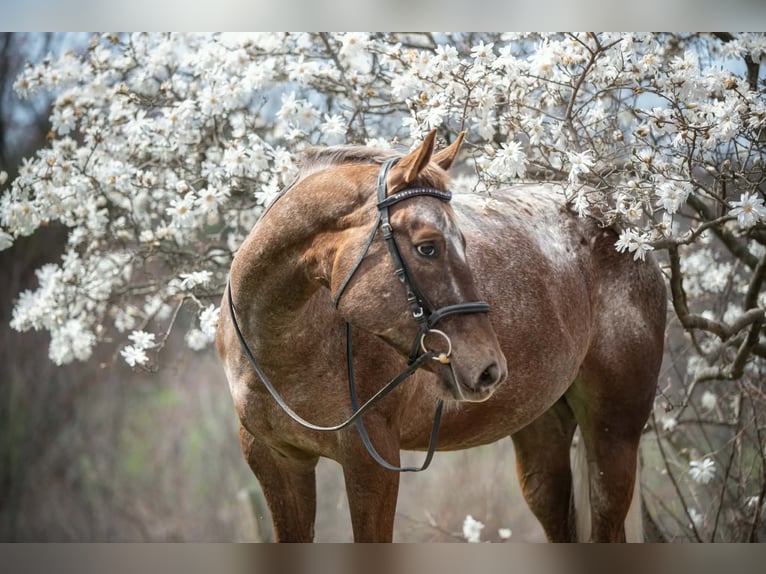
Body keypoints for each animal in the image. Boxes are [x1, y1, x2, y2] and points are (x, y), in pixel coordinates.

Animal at [216, 130, 667, 542]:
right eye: (428, 247)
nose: (489, 368)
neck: (284, 348)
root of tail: (620, 225)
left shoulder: (370, 461)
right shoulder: (276, 462)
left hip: (613, 435)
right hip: (541, 434)